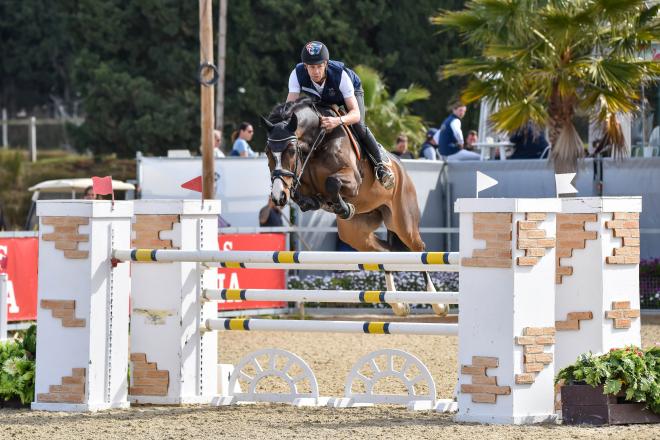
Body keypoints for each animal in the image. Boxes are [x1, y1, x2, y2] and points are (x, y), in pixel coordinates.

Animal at [266, 98, 446, 316]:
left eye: (291, 151)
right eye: (267, 152)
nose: (278, 197)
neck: (317, 144)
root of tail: (401, 168)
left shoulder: (352, 181)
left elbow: (332, 182)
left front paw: (343, 207)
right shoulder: (299, 181)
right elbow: (301, 194)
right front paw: (320, 203)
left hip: (403, 223)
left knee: (419, 250)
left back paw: (438, 304)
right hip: (356, 234)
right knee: (385, 252)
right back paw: (399, 304)